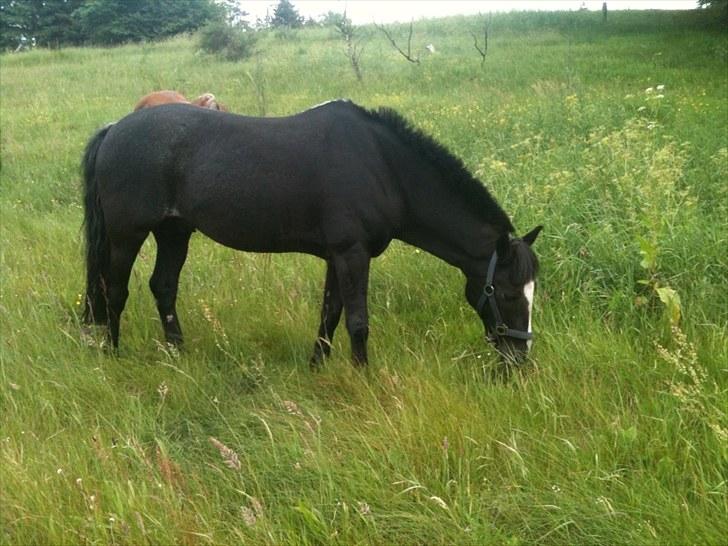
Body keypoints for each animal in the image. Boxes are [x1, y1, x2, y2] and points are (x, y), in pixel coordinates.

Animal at [81, 100, 540, 364]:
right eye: (507, 293)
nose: (520, 359)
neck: (383, 166)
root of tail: (114, 128)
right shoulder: (352, 253)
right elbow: (357, 322)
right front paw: (363, 377)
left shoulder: (339, 255)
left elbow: (329, 314)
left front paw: (318, 365)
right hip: (127, 234)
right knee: (113, 289)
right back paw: (114, 355)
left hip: (175, 231)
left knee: (163, 286)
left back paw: (178, 352)